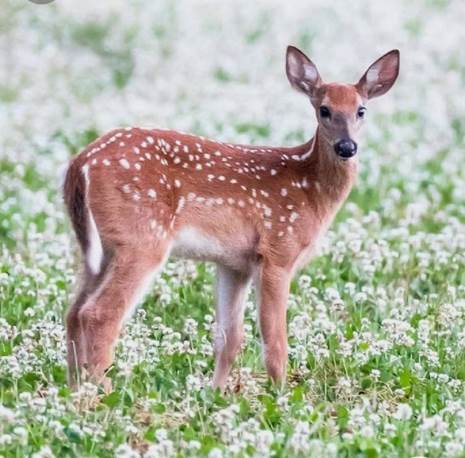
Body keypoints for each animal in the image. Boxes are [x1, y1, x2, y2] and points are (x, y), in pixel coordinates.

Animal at [62, 45, 398, 390]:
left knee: (74, 311)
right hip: (143, 238)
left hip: (103, 248)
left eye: (361, 110)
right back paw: (104, 391)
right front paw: (281, 396)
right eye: (324, 110)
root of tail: (80, 162)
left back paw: (74, 389)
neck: (310, 189)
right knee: (99, 313)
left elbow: (229, 339)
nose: (347, 147)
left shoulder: (235, 263)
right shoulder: (278, 250)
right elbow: (275, 342)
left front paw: (217, 394)